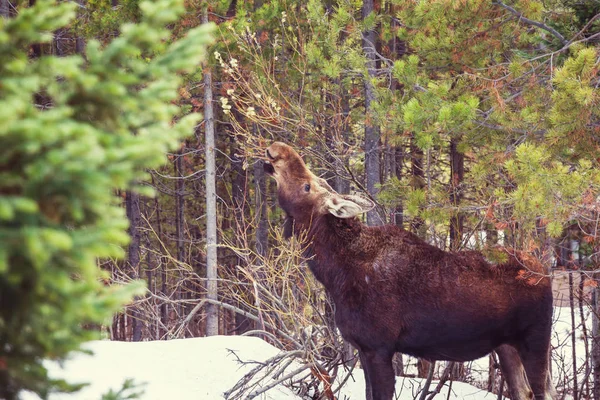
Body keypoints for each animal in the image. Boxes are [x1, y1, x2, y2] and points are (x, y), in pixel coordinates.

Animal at [264, 142, 556, 400]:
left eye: (307, 186)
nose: (277, 150)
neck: (334, 273)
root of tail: (545, 271)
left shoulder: (379, 347)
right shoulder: (363, 348)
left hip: (535, 338)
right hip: (506, 345)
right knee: (524, 392)